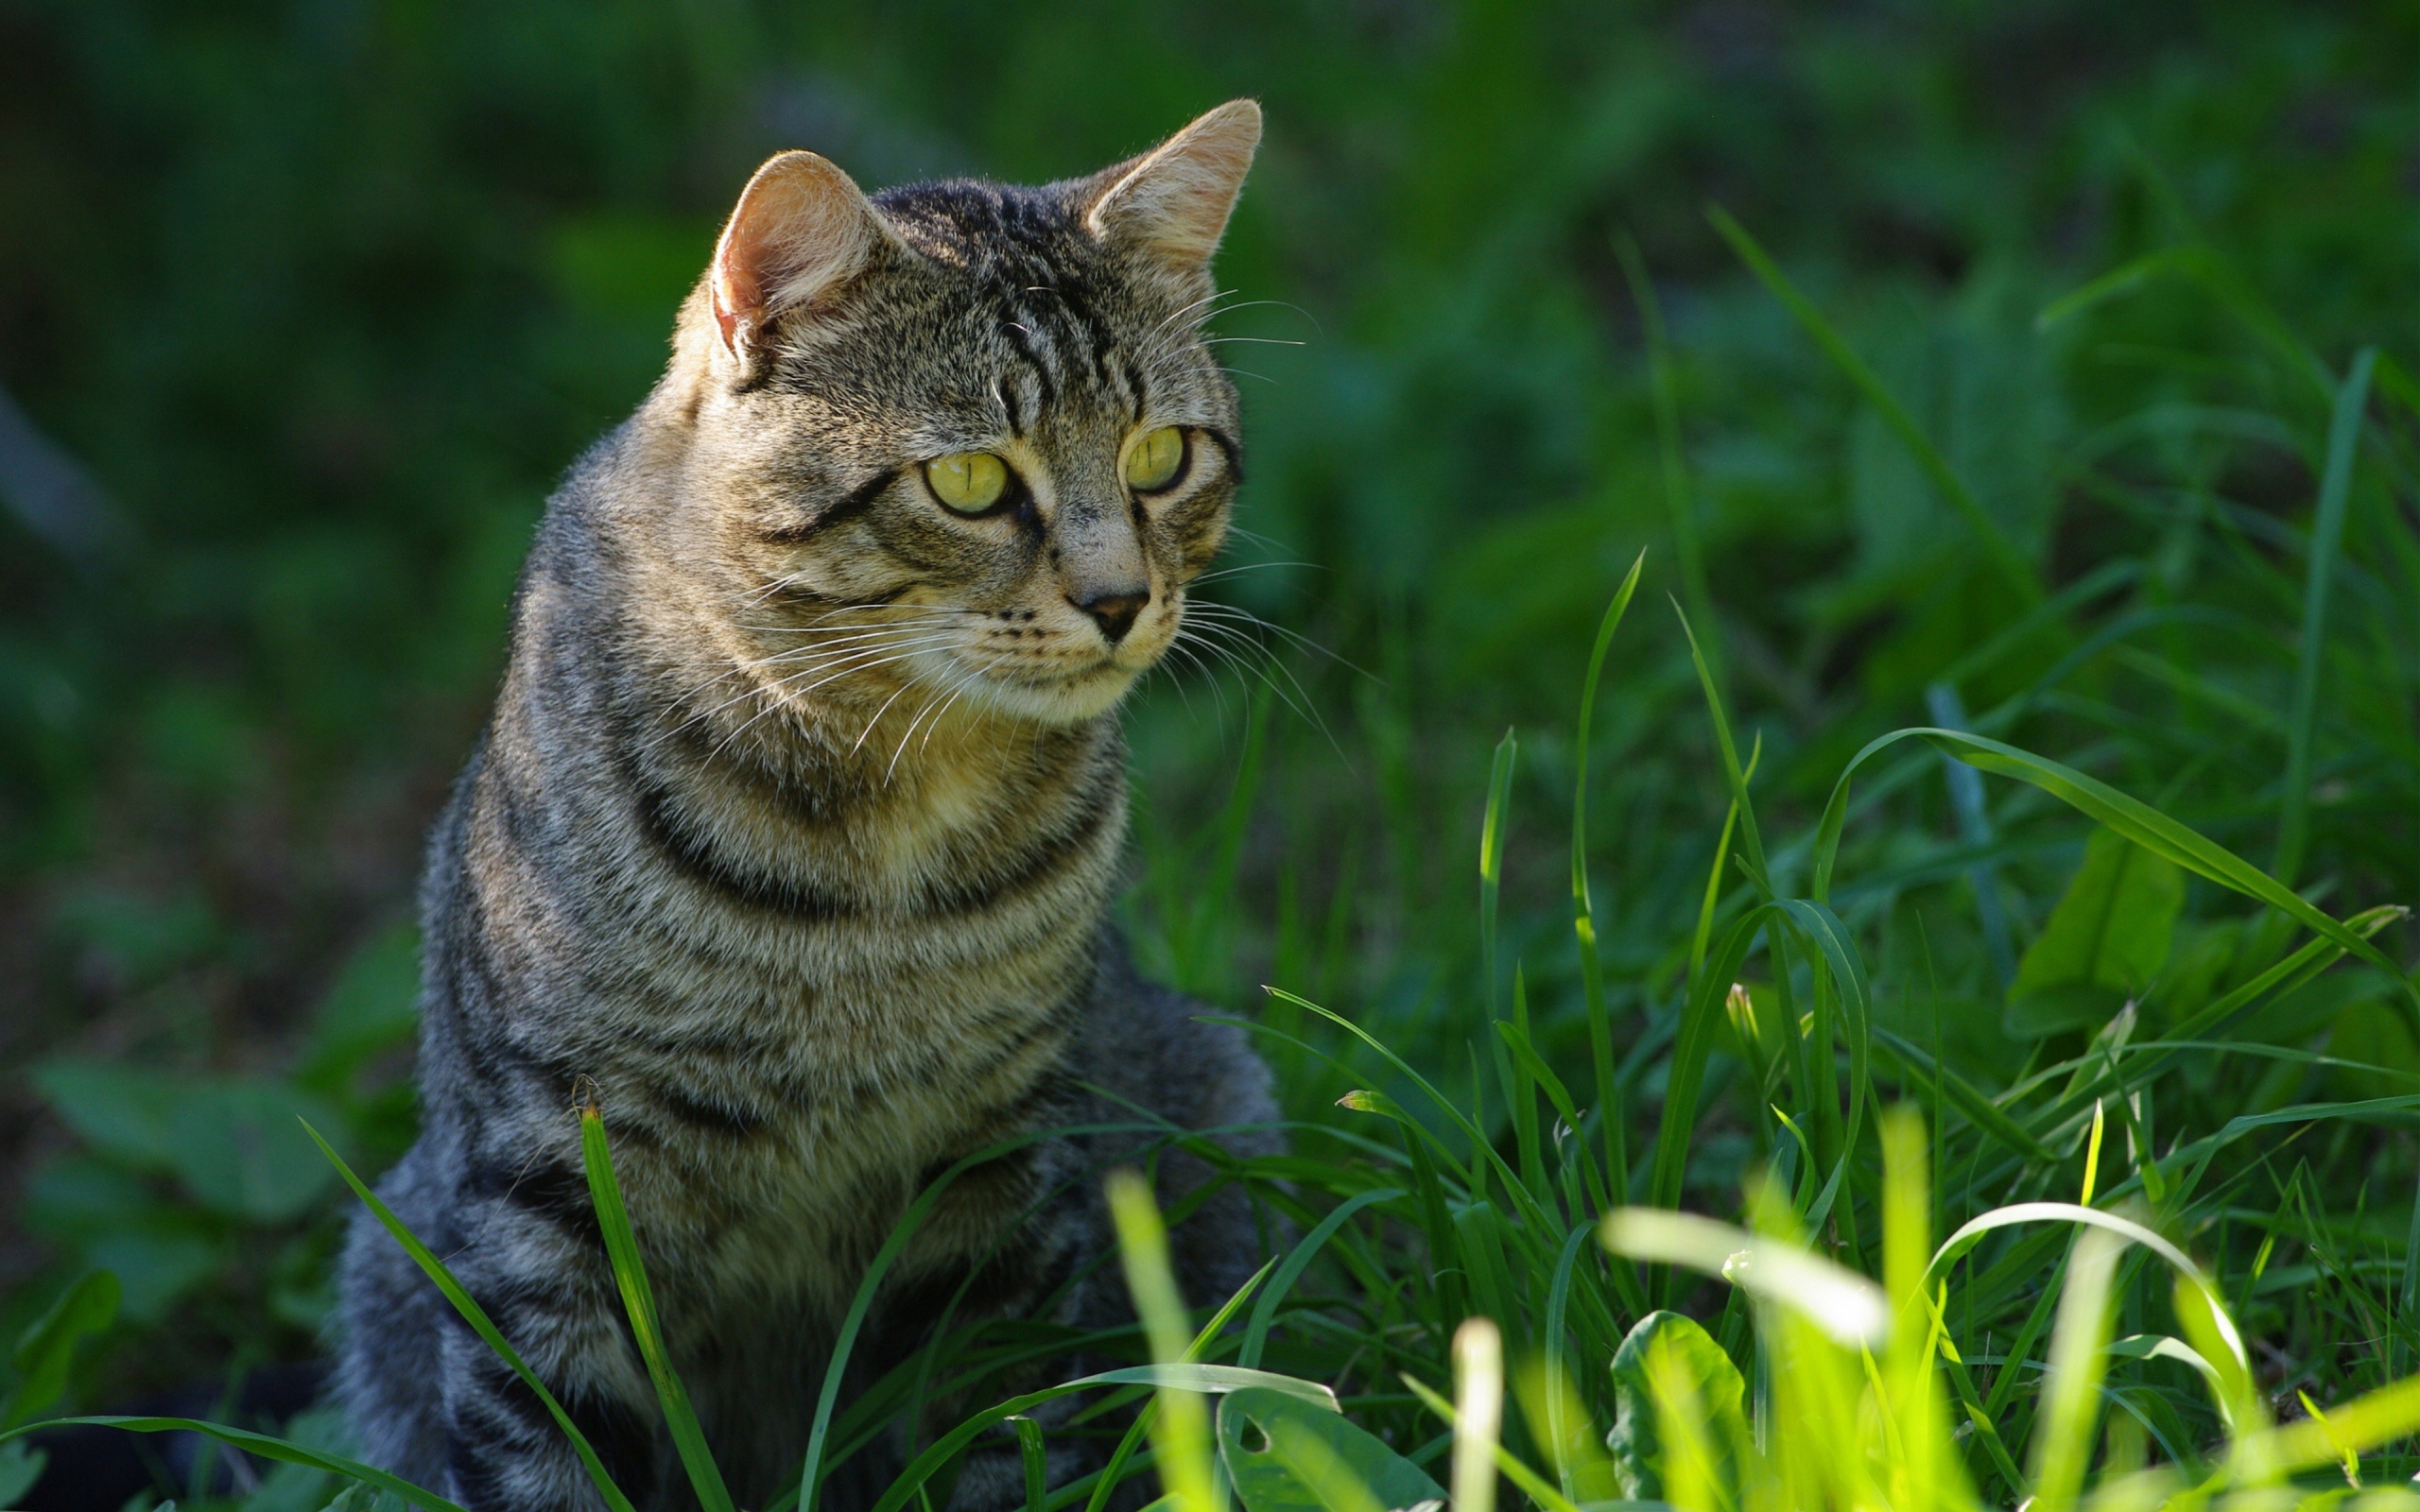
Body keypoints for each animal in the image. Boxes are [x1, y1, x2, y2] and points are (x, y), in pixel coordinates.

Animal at [340, 100, 1287, 1500]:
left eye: (1163, 457)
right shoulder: (545, 1187)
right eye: (969, 482)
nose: (1122, 600)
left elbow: (993, 1427)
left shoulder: (999, 1162)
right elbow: (544, 1450)